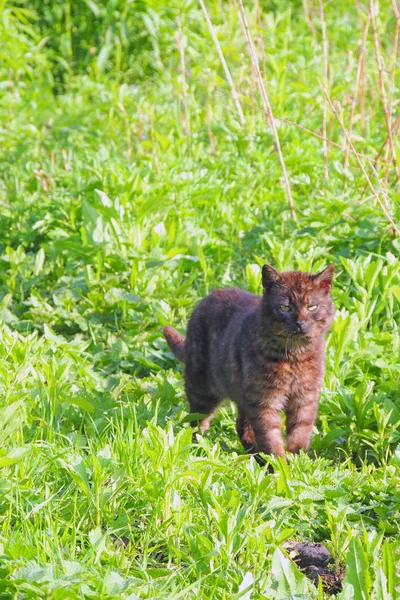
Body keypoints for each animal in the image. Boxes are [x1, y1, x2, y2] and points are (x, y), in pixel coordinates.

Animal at [162, 264, 334, 458]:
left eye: (312, 307)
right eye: (285, 307)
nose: (300, 323)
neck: (294, 356)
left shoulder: (305, 398)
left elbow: (300, 432)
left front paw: (298, 459)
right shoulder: (264, 401)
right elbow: (271, 437)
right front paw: (278, 463)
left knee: (241, 426)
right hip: (201, 391)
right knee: (197, 423)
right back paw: (200, 449)